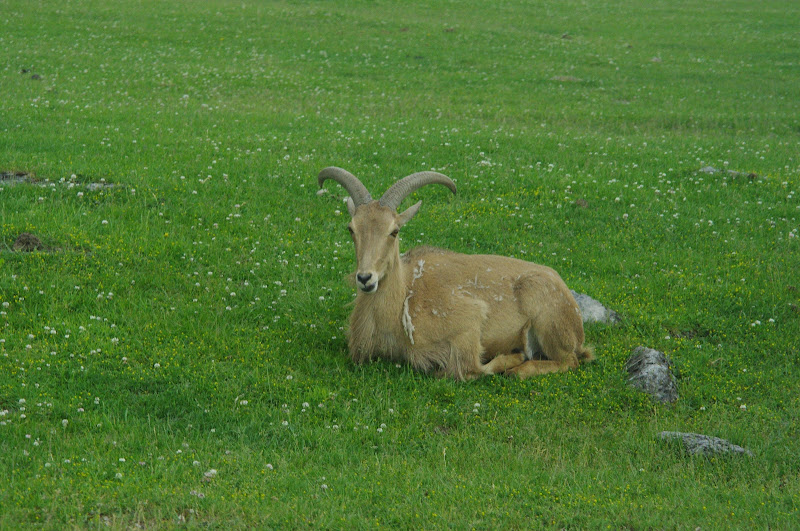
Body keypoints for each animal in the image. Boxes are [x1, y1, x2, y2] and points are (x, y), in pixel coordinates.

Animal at [318, 166, 594, 380]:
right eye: (351, 228)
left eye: (394, 231)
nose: (366, 279)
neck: (405, 294)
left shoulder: (469, 325)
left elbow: (467, 370)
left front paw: (513, 356)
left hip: (547, 320)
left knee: (569, 360)